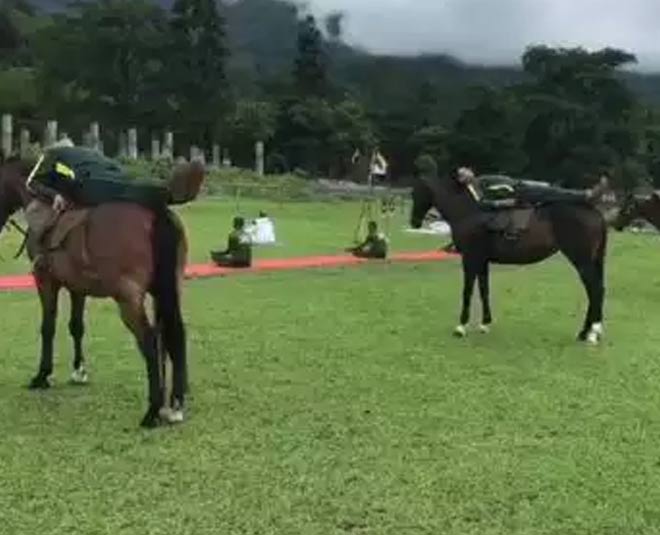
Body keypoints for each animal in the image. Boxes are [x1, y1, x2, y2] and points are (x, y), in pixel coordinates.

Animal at [0, 156, 194, 428]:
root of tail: (158, 213)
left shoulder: (46, 280)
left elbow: (48, 327)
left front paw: (42, 375)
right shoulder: (77, 286)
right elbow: (76, 326)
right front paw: (78, 371)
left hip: (128, 298)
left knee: (149, 340)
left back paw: (153, 410)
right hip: (168, 291)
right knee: (173, 334)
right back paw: (175, 404)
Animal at [410, 174, 608, 344]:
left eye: (417, 192)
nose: (414, 222)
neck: (469, 212)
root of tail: (596, 212)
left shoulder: (470, 259)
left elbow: (468, 291)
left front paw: (461, 327)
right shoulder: (482, 261)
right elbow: (484, 290)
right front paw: (484, 324)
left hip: (582, 261)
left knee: (595, 290)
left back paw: (590, 333)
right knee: (597, 290)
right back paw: (589, 332)